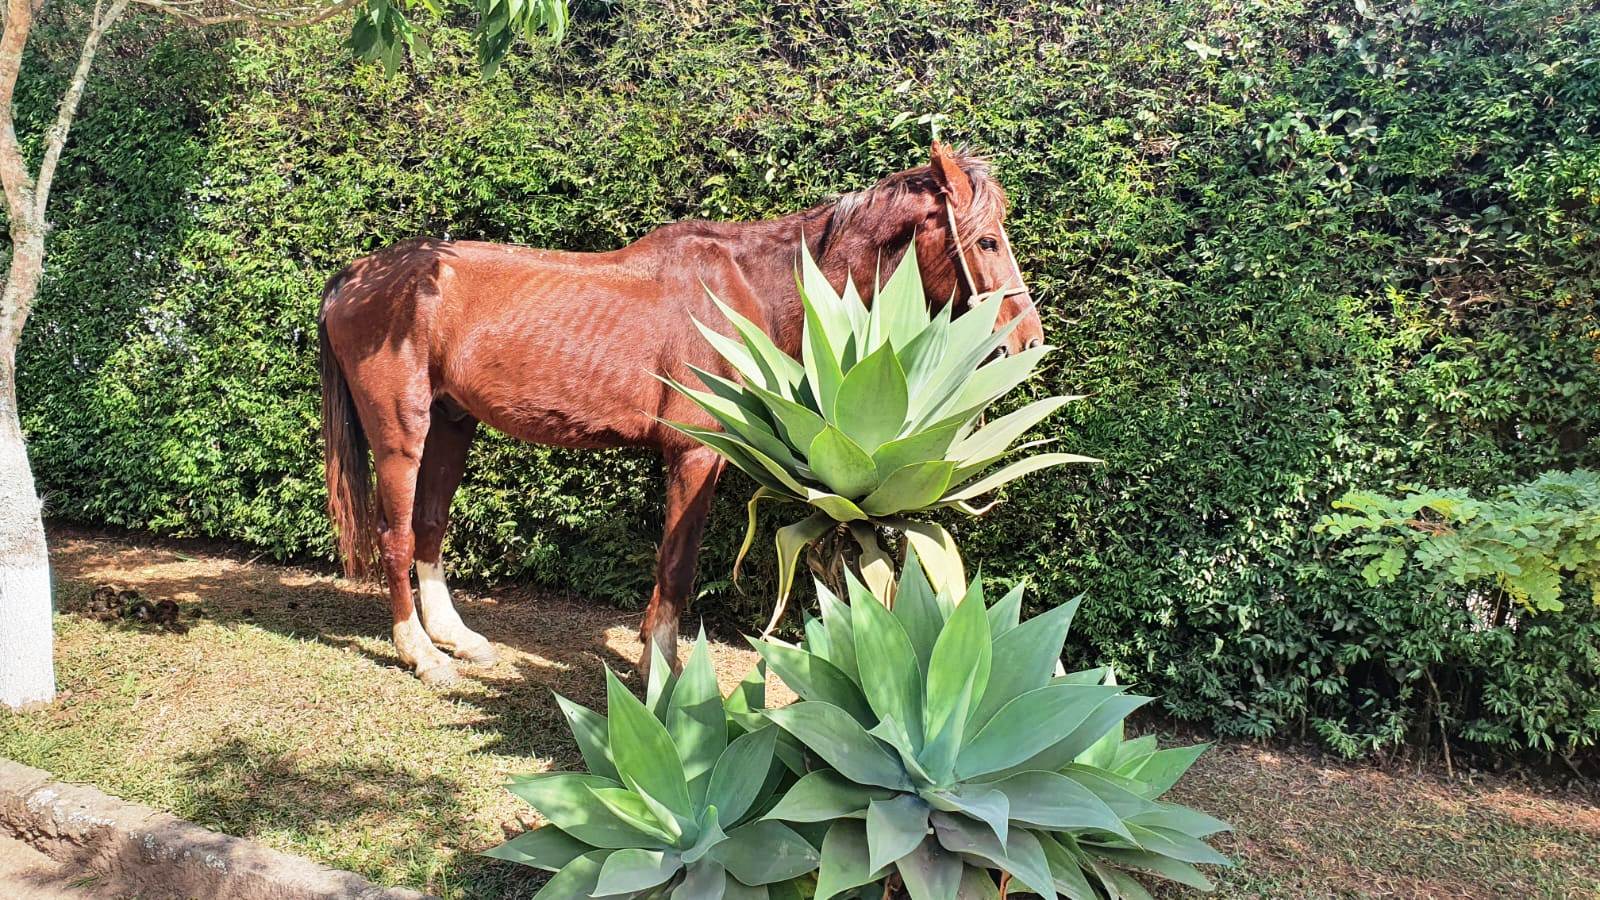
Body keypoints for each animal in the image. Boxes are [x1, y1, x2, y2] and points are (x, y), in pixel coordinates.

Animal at [318, 143, 1043, 682]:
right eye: (985, 243)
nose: (1028, 342)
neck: (746, 292)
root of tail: (358, 275)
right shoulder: (695, 455)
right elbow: (677, 565)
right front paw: (660, 670)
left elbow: (669, 561)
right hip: (403, 432)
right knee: (397, 533)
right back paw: (422, 655)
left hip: (451, 424)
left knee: (430, 527)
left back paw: (458, 639)